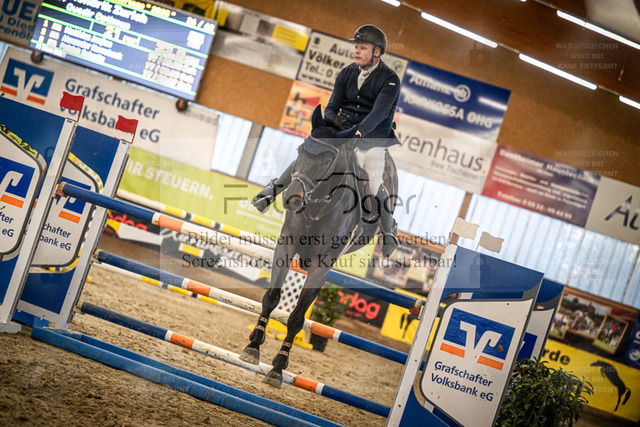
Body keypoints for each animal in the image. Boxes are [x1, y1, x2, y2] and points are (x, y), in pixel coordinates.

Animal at [239, 105, 398, 388]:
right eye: (300, 151)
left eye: (327, 161)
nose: (291, 199)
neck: (318, 206)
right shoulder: (286, 246)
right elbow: (271, 297)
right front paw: (253, 347)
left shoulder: (321, 267)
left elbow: (297, 316)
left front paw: (277, 368)